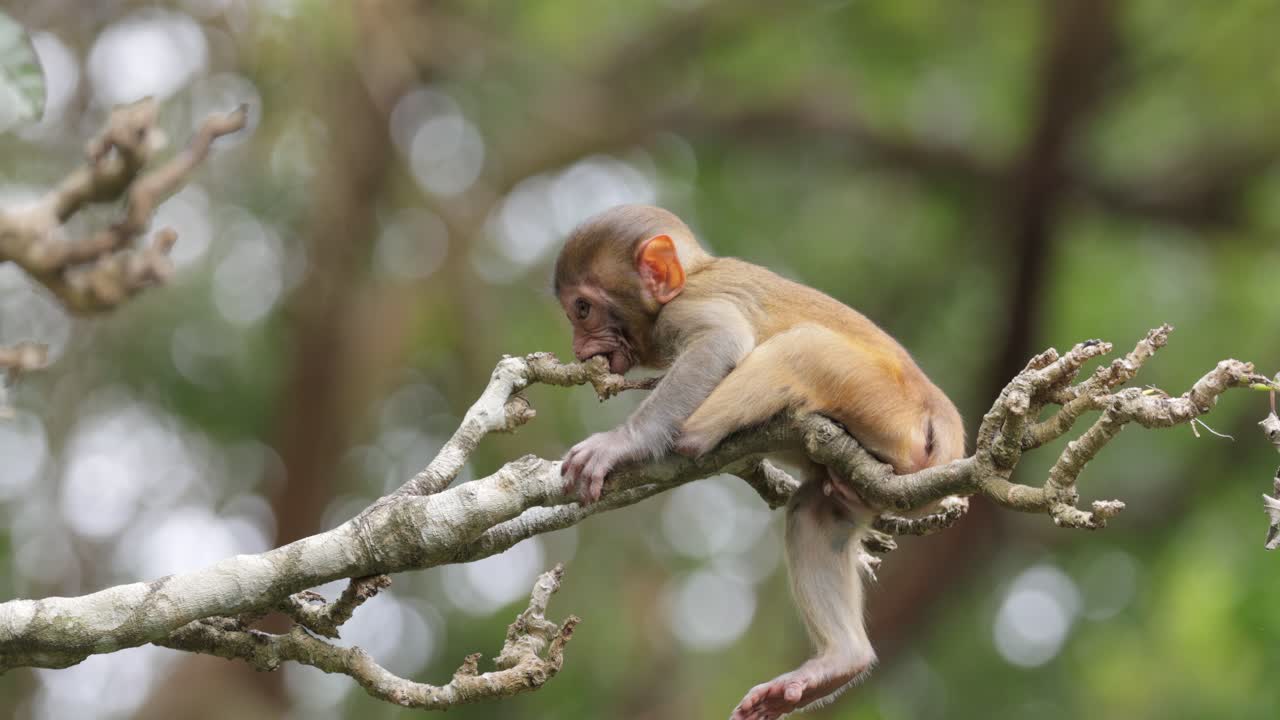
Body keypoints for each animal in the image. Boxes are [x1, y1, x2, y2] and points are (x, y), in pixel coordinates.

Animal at [554, 205, 964, 720]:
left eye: (582, 308)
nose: (576, 348)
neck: (691, 278)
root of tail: (940, 415)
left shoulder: (685, 310)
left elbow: (719, 342)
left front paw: (620, 443)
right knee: (817, 510)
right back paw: (840, 662)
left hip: (882, 403)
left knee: (800, 348)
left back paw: (698, 434)